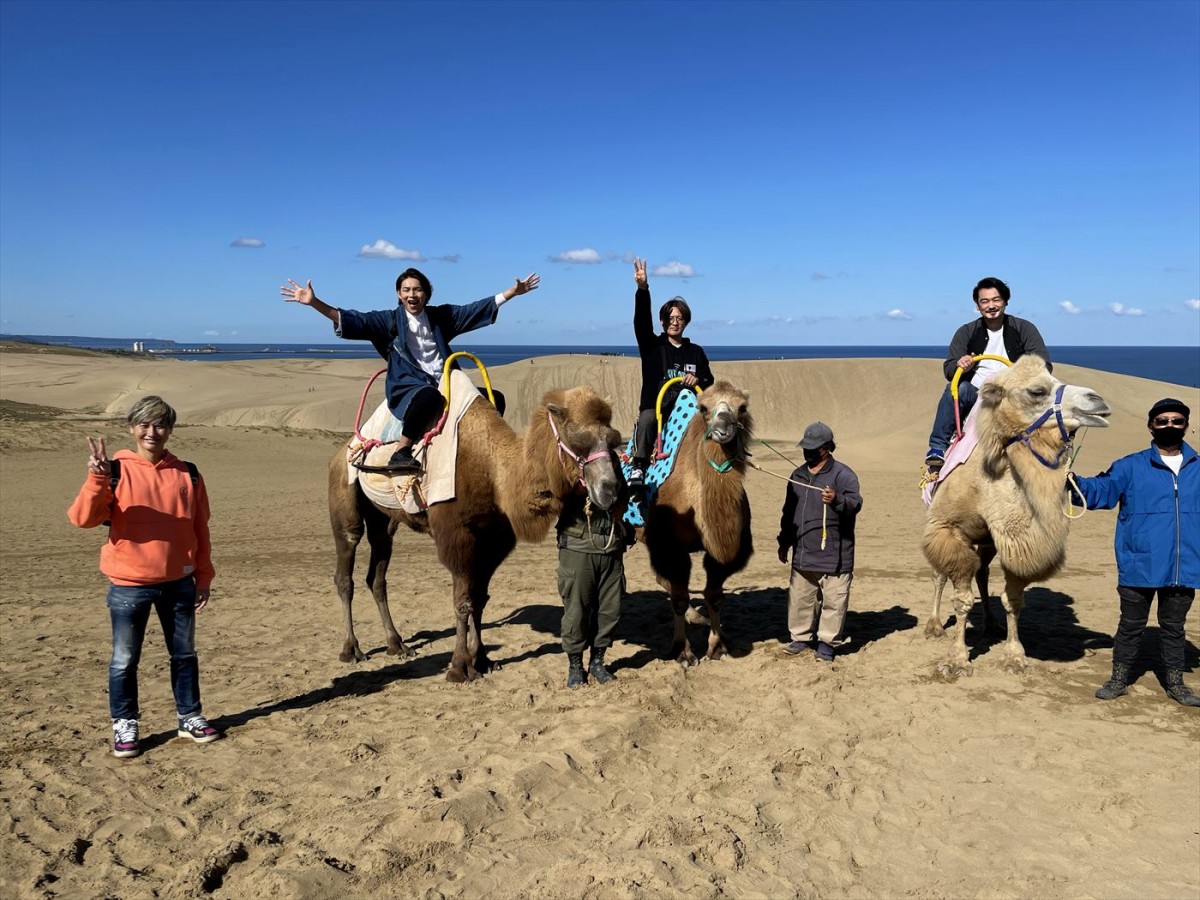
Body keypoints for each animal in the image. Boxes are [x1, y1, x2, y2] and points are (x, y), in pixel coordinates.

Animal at [331, 388, 624, 681]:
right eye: (578, 441)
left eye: (613, 441)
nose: (611, 490)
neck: (495, 474)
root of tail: (341, 452)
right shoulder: (457, 537)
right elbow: (462, 602)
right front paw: (460, 667)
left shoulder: (495, 540)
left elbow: (480, 599)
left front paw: (482, 659)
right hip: (344, 494)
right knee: (346, 569)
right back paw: (351, 649)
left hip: (383, 520)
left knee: (377, 575)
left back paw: (397, 644)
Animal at [638, 376, 748, 667]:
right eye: (704, 408)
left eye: (742, 407)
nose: (723, 429)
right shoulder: (670, 546)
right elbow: (678, 597)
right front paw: (683, 652)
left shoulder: (724, 551)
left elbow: (715, 596)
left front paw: (718, 646)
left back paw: (697, 616)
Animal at [921, 357, 1108, 676]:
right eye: (1037, 391)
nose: (1098, 401)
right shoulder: (948, 527)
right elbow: (961, 599)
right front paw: (957, 659)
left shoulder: (1019, 539)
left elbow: (1014, 600)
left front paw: (1014, 656)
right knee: (939, 574)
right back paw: (934, 626)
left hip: (986, 540)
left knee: (982, 572)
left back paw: (991, 623)